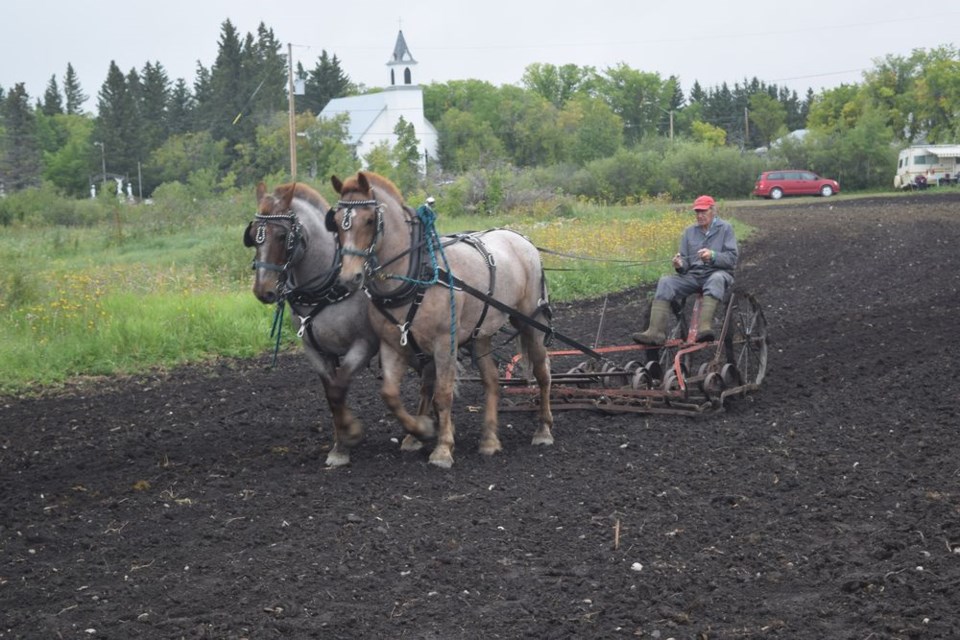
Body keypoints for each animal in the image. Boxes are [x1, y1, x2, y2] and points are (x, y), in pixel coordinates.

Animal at [244, 182, 378, 468]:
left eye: (282, 236)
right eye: (253, 236)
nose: (263, 291)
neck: (329, 287)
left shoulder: (364, 345)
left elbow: (339, 389)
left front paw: (351, 433)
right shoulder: (315, 350)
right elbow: (331, 395)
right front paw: (340, 446)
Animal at [328, 172, 556, 468]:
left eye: (369, 219)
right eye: (335, 222)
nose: (348, 278)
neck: (416, 273)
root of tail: (521, 238)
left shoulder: (444, 342)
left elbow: (443, 393)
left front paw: (443, 449)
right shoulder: (392, 344)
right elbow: (389, 394)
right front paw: (420, 431)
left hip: (530, 321)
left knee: (542, 371)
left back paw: (543, 429)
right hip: (481, 333)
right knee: (492, 379)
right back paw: (489, 439)